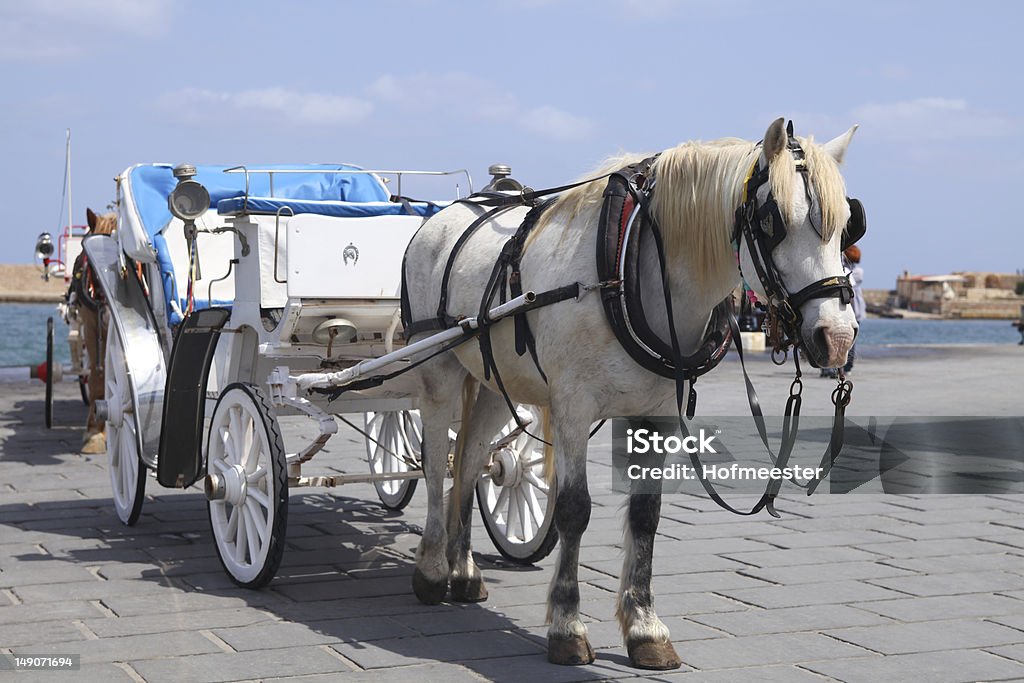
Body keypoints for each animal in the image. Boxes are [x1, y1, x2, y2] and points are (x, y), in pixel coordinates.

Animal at [403, 117, 860, 667]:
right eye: (774, 221)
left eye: (848, 225)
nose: (837, 338)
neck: (623, 270)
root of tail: (441, 215)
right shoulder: (573, 408)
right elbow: (573, 509)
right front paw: (566, 626)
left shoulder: (656, 414)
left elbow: (646, 515)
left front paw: (645, 629)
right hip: (439, 369)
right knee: (435, 464)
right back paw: (432, 571)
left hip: (495, 380)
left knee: (470, 461)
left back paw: (464, 570)